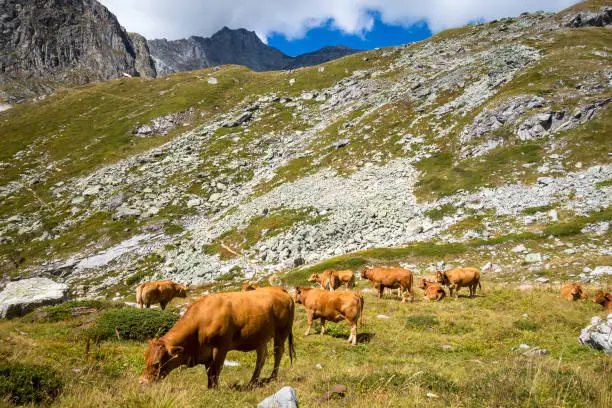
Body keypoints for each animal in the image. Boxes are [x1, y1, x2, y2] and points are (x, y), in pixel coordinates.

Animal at [142, 286, 298, 388]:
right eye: (145, 359)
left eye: (156, 363)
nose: (141, 382)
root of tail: (279, 289)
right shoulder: (206, 353)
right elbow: (209, 371)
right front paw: (209, 387)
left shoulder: (220, 347)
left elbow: (215, 370)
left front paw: (214, 389)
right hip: (261, 338)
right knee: (262, 357)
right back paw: (252, 382)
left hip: (281, 333)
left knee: (278, 353)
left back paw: (272, 377)